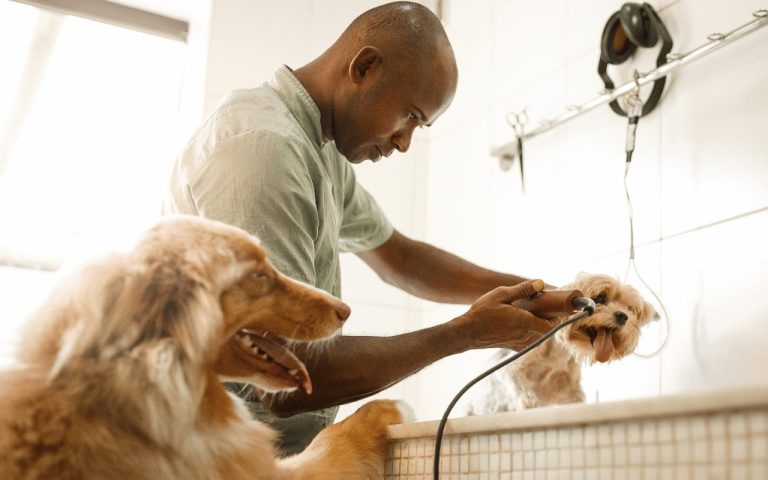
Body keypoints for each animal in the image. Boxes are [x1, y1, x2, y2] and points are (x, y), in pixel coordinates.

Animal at [464, 276, 656, 414]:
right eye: (601, 297)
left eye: (630, 309)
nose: (623, 316)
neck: (557, 356)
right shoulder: (511, 370)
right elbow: (524, 391)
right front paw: (531, 404)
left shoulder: (570, 391)